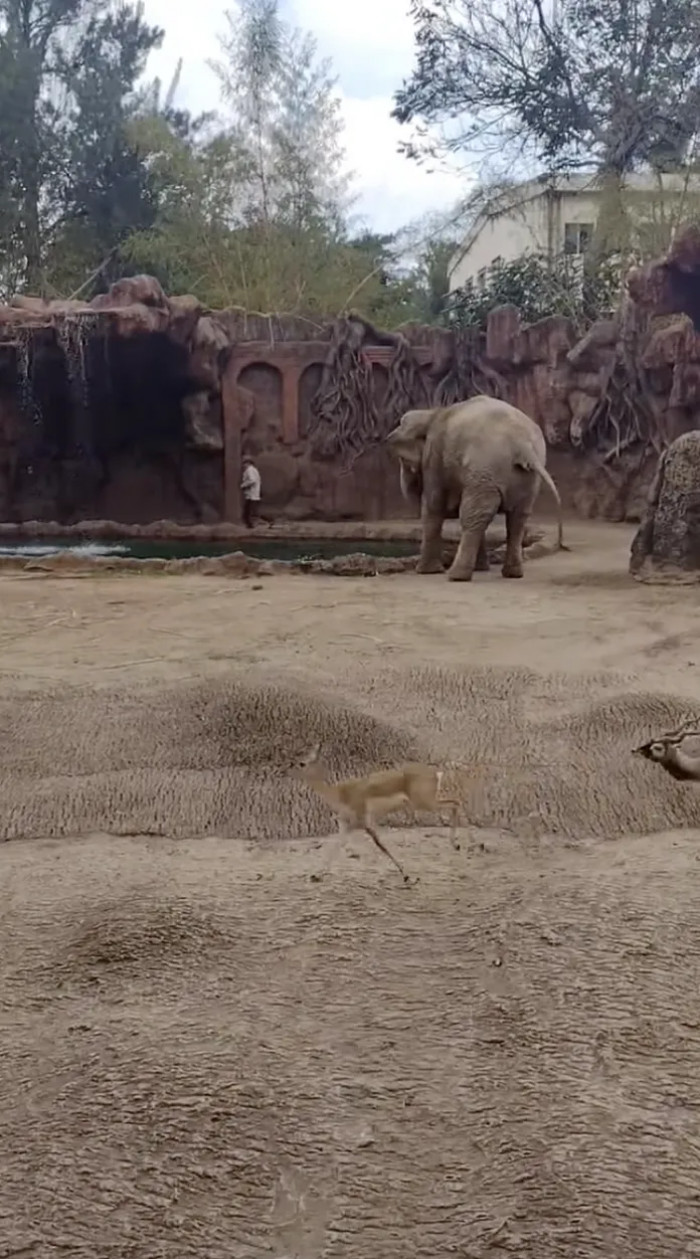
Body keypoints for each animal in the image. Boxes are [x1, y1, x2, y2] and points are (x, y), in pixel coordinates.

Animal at [385, 395, 566, 581]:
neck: (431, 413)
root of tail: (522, 444)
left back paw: (456, 576)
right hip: (524, 476)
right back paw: (512, 574)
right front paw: (480, 569)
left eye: (404, 460)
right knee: (515, 518)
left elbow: (433, 507)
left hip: (485, 467)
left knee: (474, 515)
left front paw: (426, 572)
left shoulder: (434, 457)